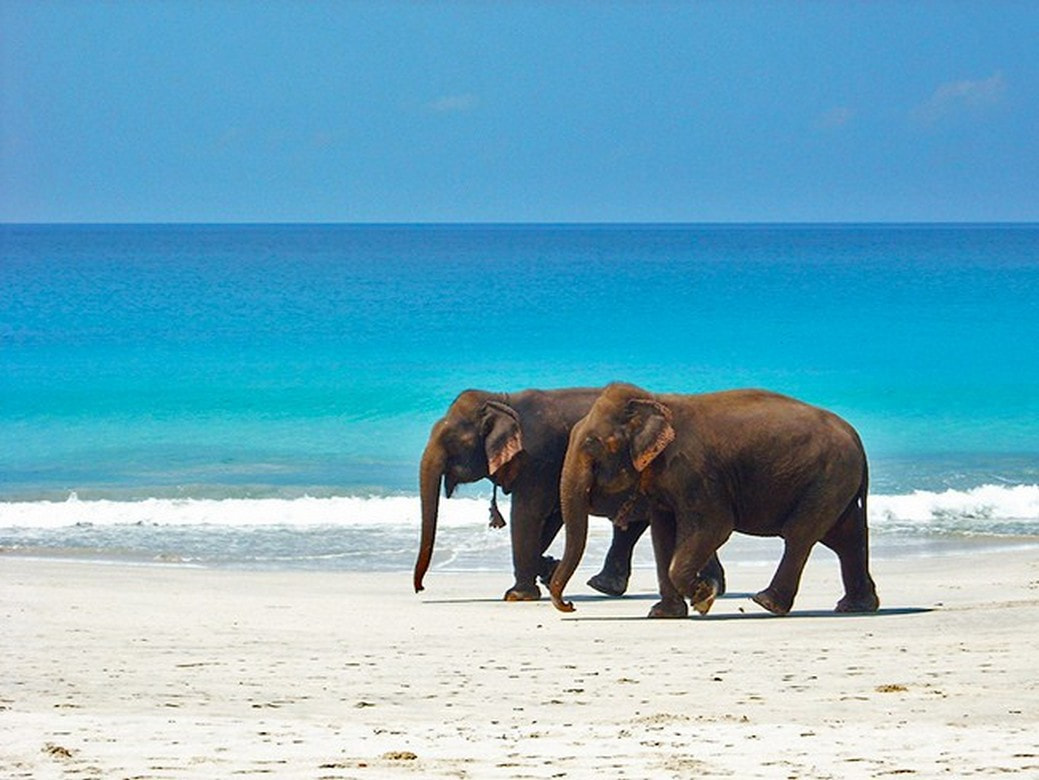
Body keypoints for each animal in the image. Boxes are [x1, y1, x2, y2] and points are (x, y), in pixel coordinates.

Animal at [414, 387, 726, 601]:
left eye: (453, 441)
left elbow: (528, 514)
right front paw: (548, 570)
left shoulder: (539, 459)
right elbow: (551, 517)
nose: (421, 588)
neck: (503, 398)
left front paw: (518, 595)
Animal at [549, 383, 879, 618]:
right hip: (836, 483)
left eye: (593, 444)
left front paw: (703, 598)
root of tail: (857, 439)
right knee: (845, 538)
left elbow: (715, 526)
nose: (570, 605)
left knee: (800, 534)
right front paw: (665, 614)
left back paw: (766, 603)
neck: (656, 401)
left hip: (829, 478)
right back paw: (856, 607)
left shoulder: (694, 470)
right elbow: (663, 535)